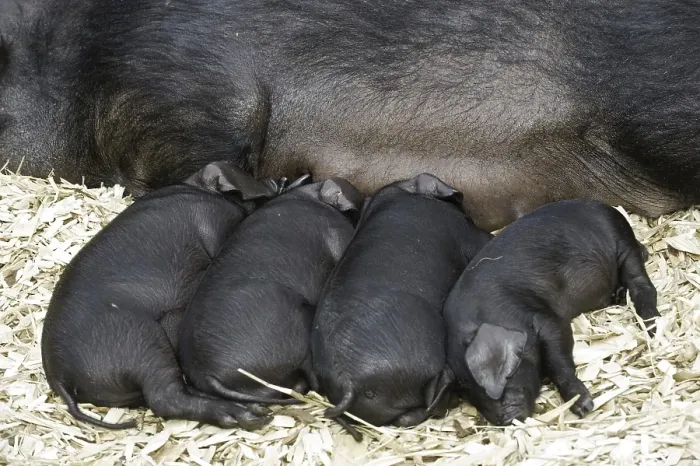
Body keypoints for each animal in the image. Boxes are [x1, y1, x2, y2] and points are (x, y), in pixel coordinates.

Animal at [41, 161, 280, 430]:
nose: (278, 180)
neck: (198, 190)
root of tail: (58, 377)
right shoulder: (212, 223)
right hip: (138, 339)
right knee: (165, 398)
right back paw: (249, 415)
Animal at [442, 199, 659, 426]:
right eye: (468, 391)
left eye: (501, 375)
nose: (506, 421)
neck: (491, 315)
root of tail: (609, 208)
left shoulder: (543, 318)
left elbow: (557, 357)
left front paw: (584, 407)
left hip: (622, 241)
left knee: (641, 284)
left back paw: (652, 328)